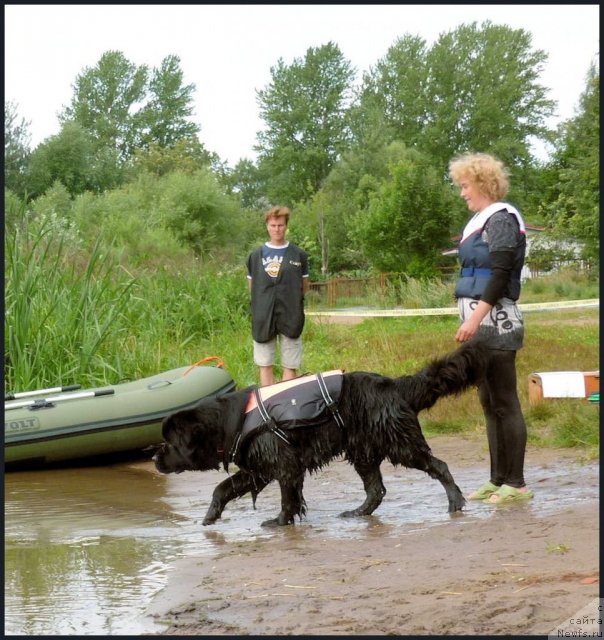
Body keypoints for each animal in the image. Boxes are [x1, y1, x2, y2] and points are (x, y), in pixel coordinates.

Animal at [153, 342, 488, 528]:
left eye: (170, 442)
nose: (155, 458)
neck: (232, 421)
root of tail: (396, 385)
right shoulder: (258, 468)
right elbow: (222, 488)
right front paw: (210, 516)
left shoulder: (284, 465)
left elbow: (287, 499)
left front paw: (279, 522)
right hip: (364, 451)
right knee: (376, 490)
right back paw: (357, 513)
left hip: (400, 443)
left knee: (438, 466)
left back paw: (455, 501)